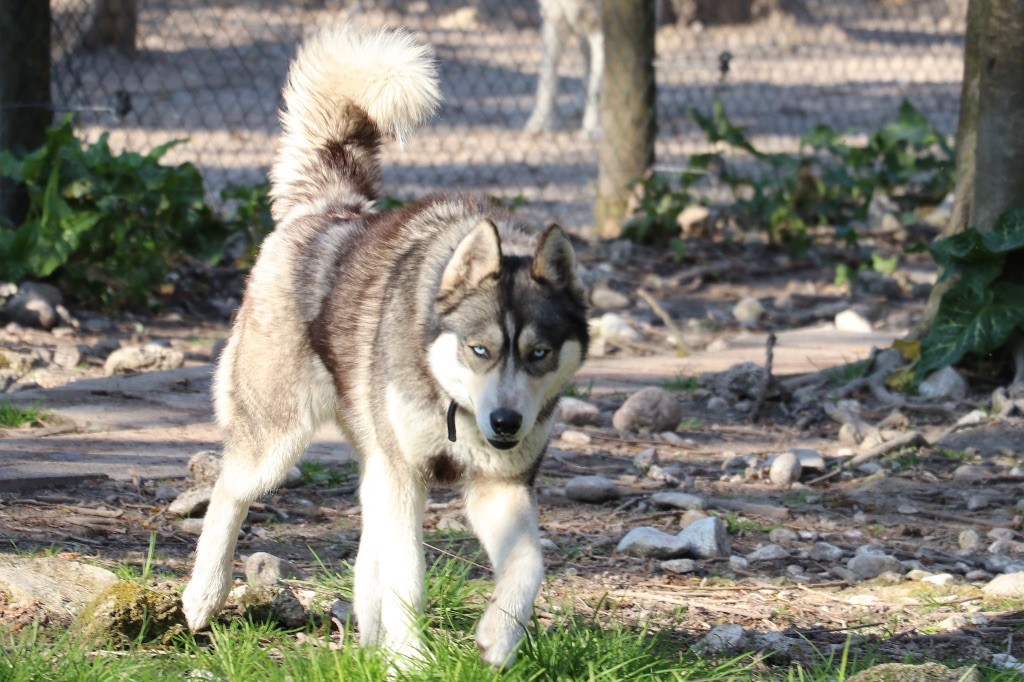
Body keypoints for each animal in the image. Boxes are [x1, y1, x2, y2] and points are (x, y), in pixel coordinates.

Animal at [180, 25, 589, 663]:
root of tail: (328, 208)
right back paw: (204, 595)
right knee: (227, 492)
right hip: (279, 442)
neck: (451, 401)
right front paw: (412, 663)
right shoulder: (407, 478)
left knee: (365, 554)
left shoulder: (497, 487)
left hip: (373, 464)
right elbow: (409, 580)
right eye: (479, 350)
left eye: (539, 354)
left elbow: (528, 566)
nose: (505, 423)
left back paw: (369, 642)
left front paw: (498, 638)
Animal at [524, 0, 602, 135]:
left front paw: (593, 128)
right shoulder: (555, 18)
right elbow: (547, 77)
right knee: (588, 58)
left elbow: (598, 90)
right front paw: (540, 122)